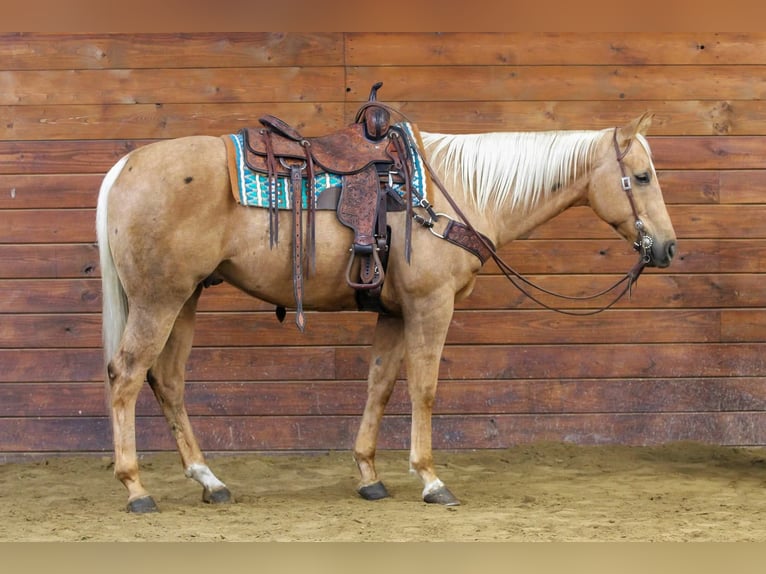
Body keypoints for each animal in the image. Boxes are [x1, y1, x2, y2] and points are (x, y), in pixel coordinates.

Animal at [96, 111, 677, 512]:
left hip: (185, 298)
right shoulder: (430, 305)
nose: (668, 248)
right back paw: (136, 488)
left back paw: (209, 481)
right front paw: (431, 479)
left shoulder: (394, 313)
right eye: (643, 176)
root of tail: (124, 166)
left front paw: (369, 476)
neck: (455, 191)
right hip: (160, 300)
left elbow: (380, 384)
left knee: (168, 381)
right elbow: (424, 388)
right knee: (126, 376)